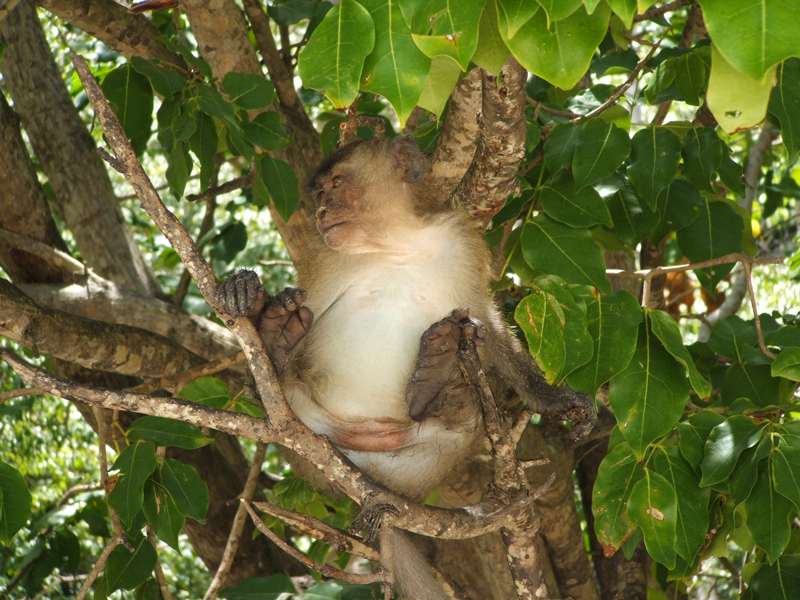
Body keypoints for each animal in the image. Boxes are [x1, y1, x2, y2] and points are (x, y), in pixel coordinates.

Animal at [217, 136, 592, 600]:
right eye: (319, 194)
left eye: (336, 185)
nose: (320, 212)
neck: (394, 244)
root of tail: (366, 477)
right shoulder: (324, 255)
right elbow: (308, 305)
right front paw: (245, 294)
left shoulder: (461, 241)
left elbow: (488, 325)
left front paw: (555, 400)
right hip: (305, 447)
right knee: (282, 397)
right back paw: (273, 345)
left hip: (425, 465)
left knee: (469, 409)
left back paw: (432, 378)